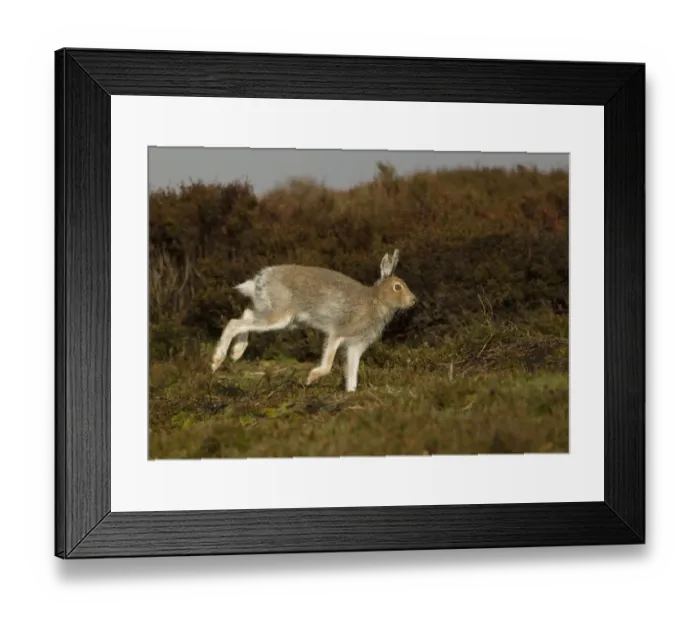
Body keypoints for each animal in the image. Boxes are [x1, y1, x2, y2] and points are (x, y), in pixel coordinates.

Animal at [210, 249, 417, 392]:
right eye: (397, 287)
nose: (414, 300)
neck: (377, 300)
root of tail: (260, 279)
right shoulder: (338, 333)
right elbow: (328, 363)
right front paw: (311, 378)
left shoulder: (355, 347)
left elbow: (352, 373)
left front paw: (351, 392)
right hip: (280, 315)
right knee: (234, 323)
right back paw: (217, 360)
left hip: (277, 315)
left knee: (246, 315)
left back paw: (236, 352)